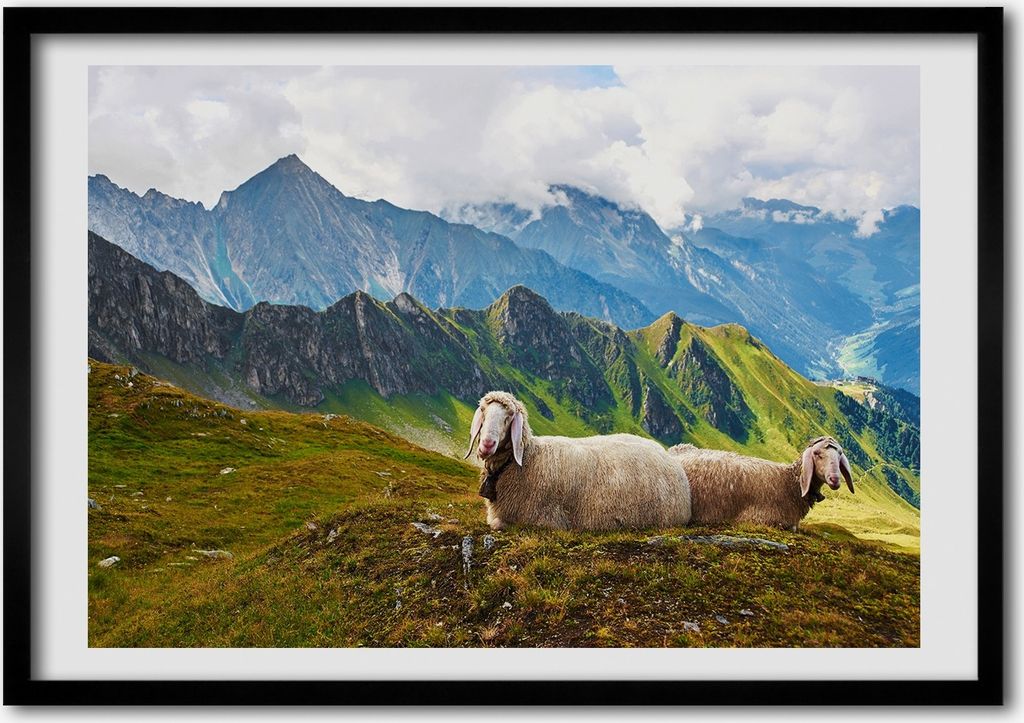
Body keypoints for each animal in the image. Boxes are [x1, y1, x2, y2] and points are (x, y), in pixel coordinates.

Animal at [464, 391, 691, 531]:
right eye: (483, 411)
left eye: (509, 417)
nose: (487, 444)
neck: (527, 458)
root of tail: (668, 457)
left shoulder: (542, 519)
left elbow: (497, 523)